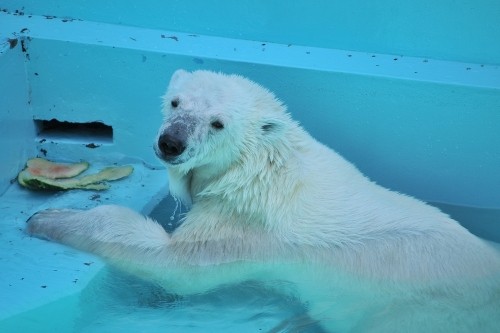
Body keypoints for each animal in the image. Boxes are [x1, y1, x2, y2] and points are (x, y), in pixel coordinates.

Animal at [27, 68, 500, 330]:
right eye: (176, 102)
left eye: (217, 123)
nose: (171, 142)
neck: (260, 165)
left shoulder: (242, 226)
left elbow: (175, 263)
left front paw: (50, 218)